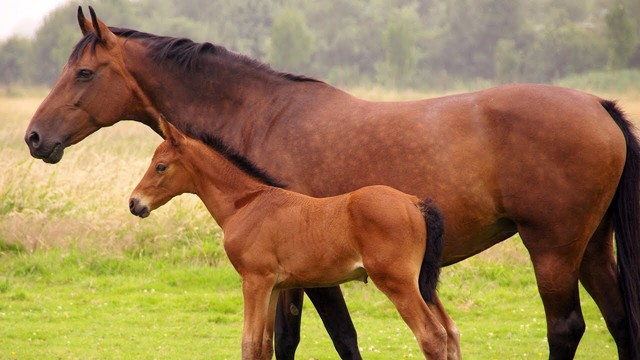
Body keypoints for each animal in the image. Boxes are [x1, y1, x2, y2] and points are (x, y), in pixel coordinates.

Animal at [25, 6, 640, 360]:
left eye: (84, 73)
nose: (33, 137)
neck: (260, 114)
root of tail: (600, 105)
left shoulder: (308, 276)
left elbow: (331, 339)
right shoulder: (293, 276)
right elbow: (290, 341)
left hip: (553, 249)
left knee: (565, 328)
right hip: (590, 249)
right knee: (620, 322)